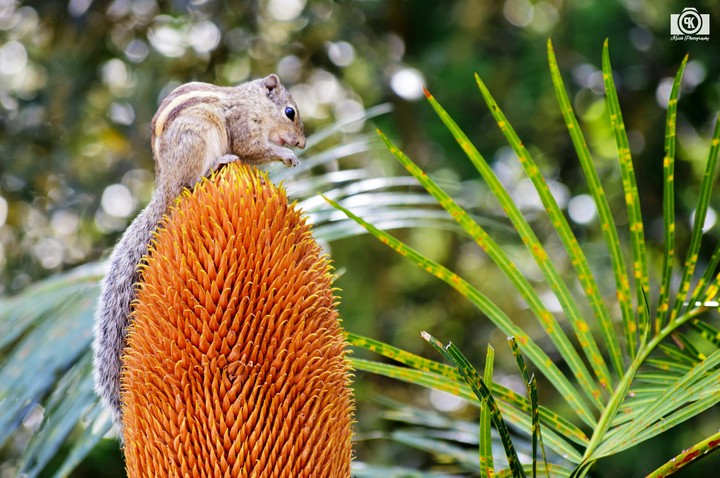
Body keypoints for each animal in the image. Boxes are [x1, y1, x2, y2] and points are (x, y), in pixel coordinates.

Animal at [92, 74, 306, 431]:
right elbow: (252, 149)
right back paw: (220, 162)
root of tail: (165, 185)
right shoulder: (242, 127)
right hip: (198, 138)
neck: (252, 102)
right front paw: (285, 155)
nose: (301, 143)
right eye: (290, 112)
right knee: (193, 181)